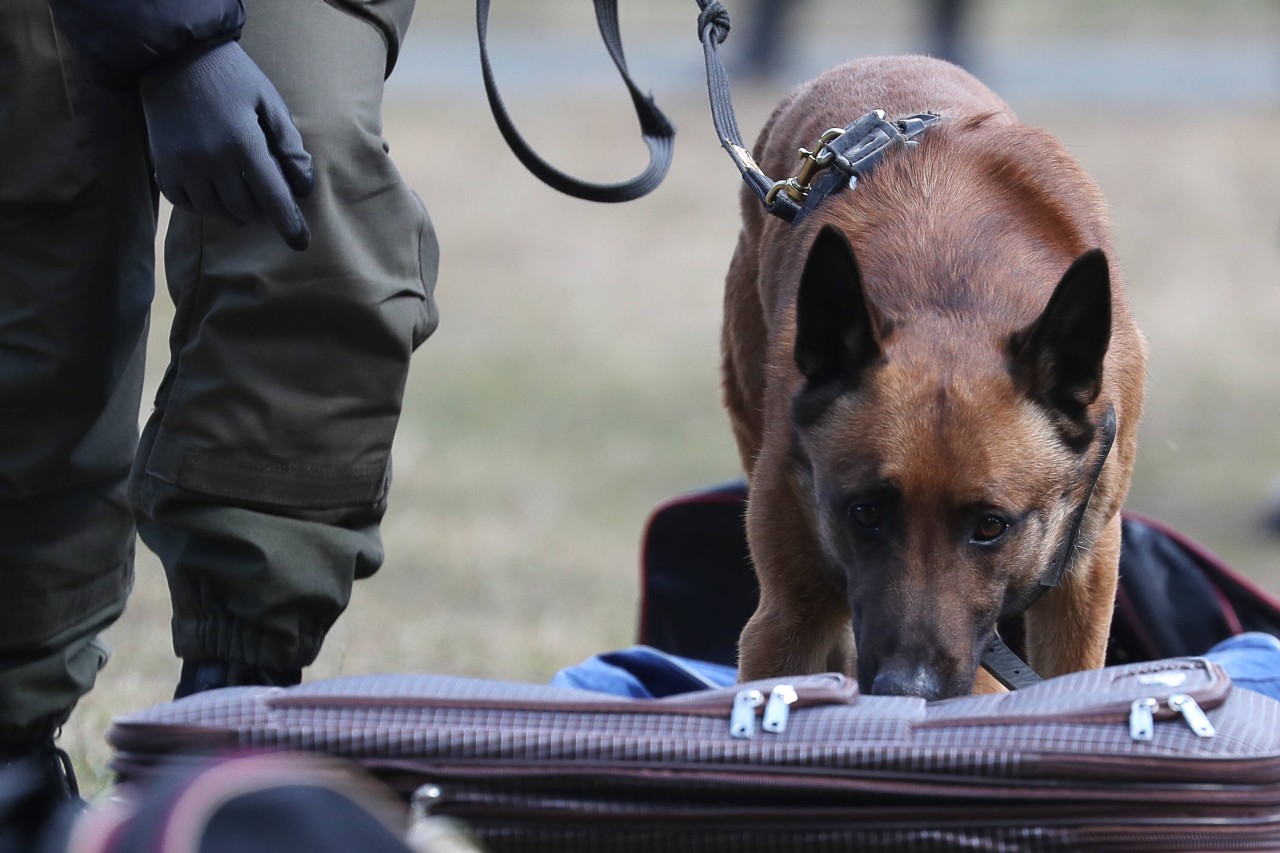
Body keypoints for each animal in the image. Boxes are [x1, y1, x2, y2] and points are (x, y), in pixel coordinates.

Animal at [721, 58, 1152, 696]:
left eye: (992, 526)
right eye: (865, 513)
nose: (908, 689)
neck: (956, 297)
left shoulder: (1084, 576)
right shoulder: (785, 621)